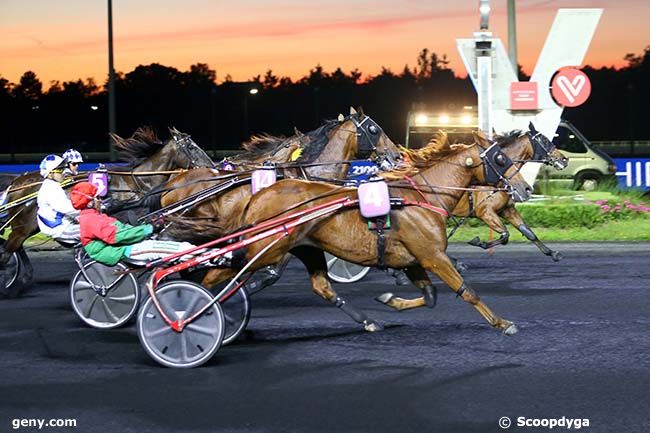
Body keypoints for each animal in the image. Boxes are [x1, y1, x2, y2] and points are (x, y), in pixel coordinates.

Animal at [0, 126, 213, 298]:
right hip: (23, 226)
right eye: (191, 146)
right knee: (7, 251)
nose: (212, 166)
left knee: (14, 247)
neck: (138, 182)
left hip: (27, 228)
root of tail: (16, 181)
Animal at [197, 137, 532, 332]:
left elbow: (430, 297)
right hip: (265, 249)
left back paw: (369, 322)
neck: (424, 197)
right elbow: (467, 291)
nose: (524, 188)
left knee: (322, 286)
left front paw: (390, 300)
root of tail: (259, 194)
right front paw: (502, 323)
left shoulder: (412, 260)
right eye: (501, 159)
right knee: (220, 275)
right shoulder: (433, 256)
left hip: (306, 247)